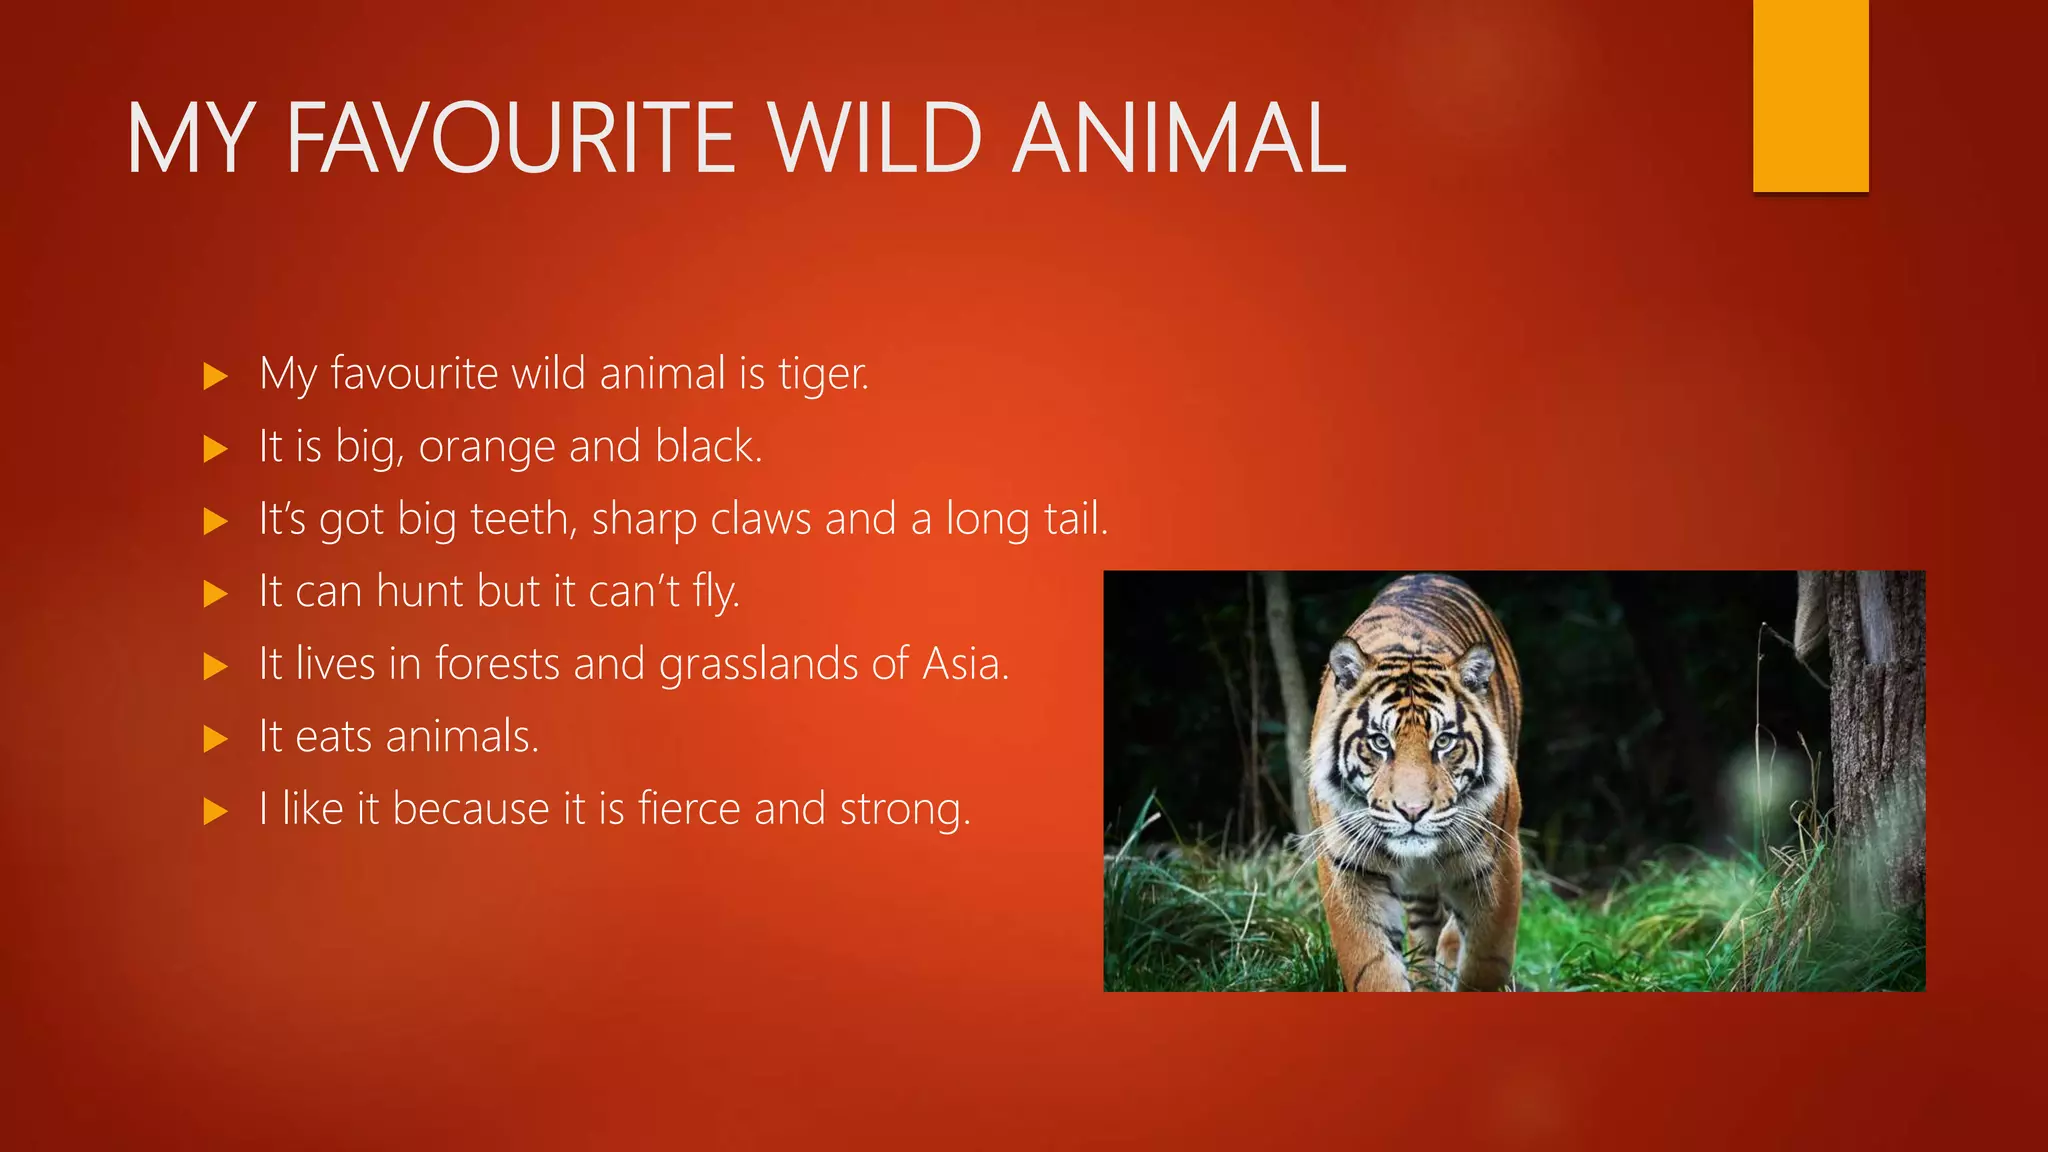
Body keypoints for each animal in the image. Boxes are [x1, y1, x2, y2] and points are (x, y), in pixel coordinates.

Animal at [1303, 573, 1523, 991]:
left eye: (1444, 741)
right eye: (1380, 742)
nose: (1412, 811)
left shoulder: (1497, 862)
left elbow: (1484, 961)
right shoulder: (1349, 868)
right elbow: (1373, 966)